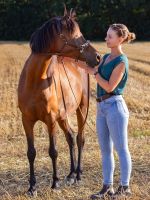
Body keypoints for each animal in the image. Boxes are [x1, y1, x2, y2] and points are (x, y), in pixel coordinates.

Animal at [17, 8, 101, 197]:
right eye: (76, 35)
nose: (98, 57)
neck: (35, 80)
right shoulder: (27, 121)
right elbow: (31, 153)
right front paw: (32, 187)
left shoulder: (50, 121)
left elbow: (53, 151)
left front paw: (55, 183)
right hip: (63, 116)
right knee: (71, 137)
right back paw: (70, 175)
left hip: (81, 109)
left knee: (80, 138)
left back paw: (78, 175)